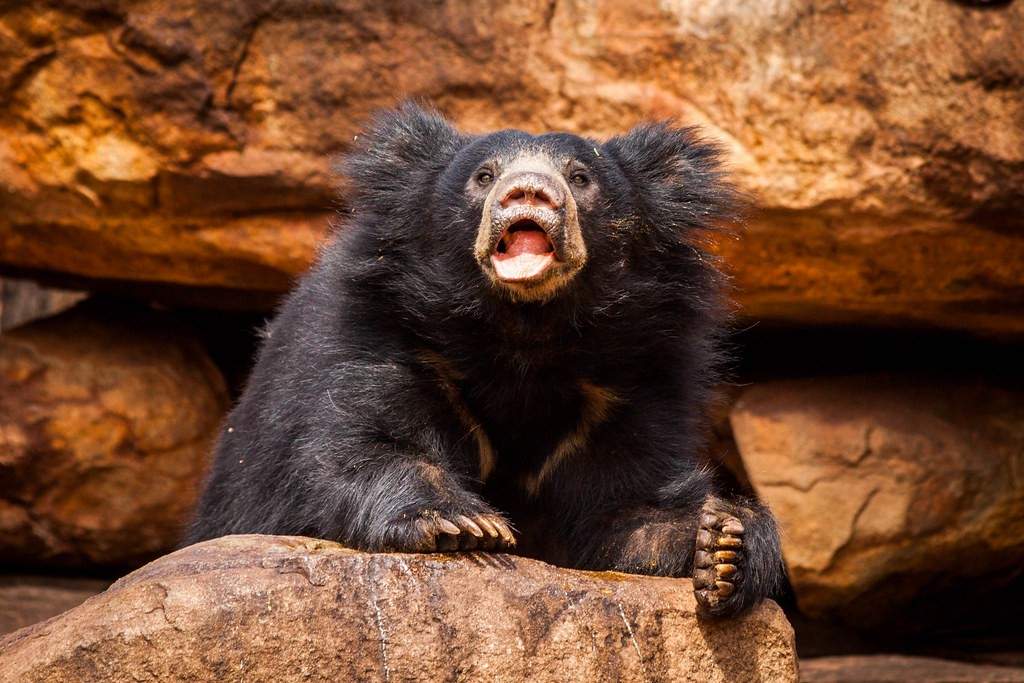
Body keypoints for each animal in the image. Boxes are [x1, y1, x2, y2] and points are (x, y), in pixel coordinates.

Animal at [188, 102, 782, 618]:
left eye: (580, 177)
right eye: (484, 175)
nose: (529, 191)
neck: (523, 334)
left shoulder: (634, 378)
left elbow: (626, 505)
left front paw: (724, 545)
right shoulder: (381, 338)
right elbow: (357, 449)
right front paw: (466, 522)